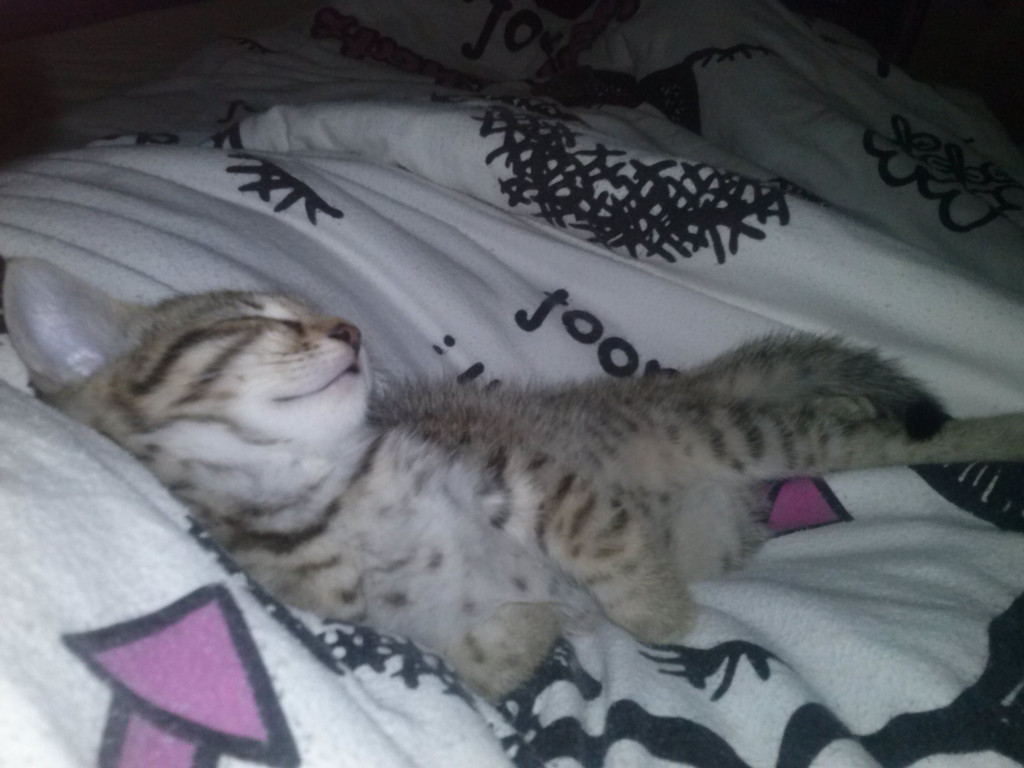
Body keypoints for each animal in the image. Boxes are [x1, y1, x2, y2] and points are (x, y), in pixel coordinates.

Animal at [4, 257, 1024, 700]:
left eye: (314, 312)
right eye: (255, 320)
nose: (349, 330)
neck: (332, 492)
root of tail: (683, 389)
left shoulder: (515, 469)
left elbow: (598, 537)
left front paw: (655, 612)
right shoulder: (405, 624)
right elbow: (490, 658)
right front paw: (549, 624)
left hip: (741, 435)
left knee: (886, 436)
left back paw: (996, 427)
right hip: (737, 491)